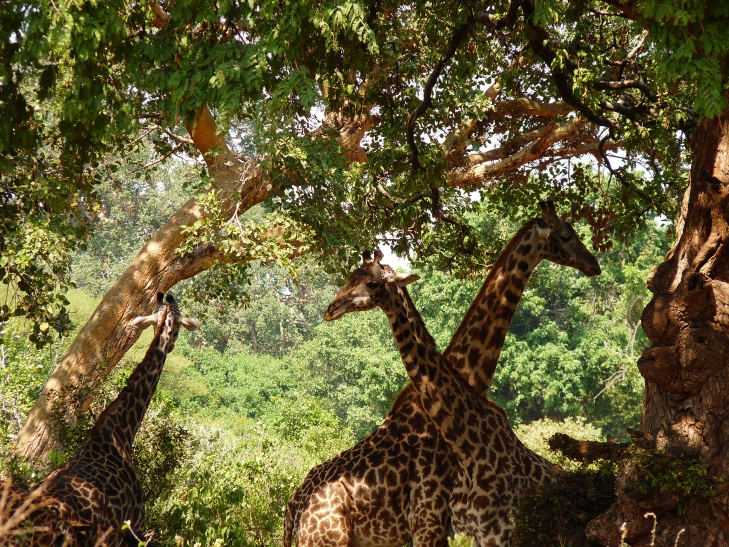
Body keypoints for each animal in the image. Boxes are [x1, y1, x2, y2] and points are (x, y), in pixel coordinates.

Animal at [284, 201, 600, 547]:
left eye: (369, 281)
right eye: (567, 235)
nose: (594, 264)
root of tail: (292, 509)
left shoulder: (438, 523)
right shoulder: (431, 520)